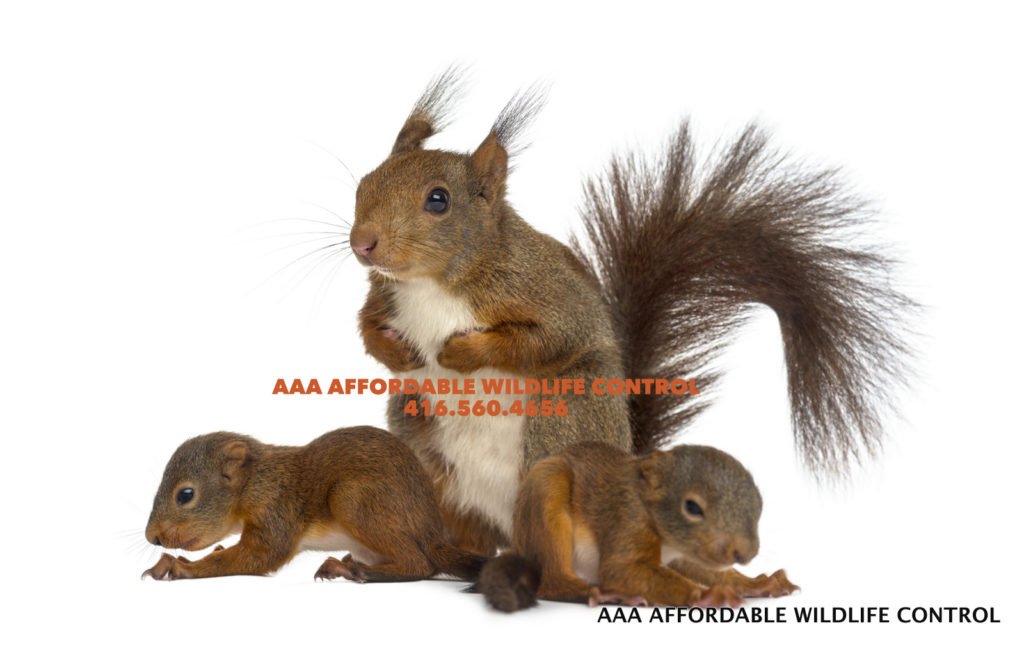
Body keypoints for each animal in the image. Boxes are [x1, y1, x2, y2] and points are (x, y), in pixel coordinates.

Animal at [142, 426, 487, 582]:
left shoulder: (275, 508)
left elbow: (260, 556)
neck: (255, 480)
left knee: (421, 565)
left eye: (185, 495)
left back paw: (355, 570)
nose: (152, 537)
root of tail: (433, 532)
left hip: (352, 499)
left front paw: (182, 567)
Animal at [349, 68, 912, 553]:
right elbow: (366, 325)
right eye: (365, 181)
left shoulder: (548, 296)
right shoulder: (385, 294)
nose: (362, 244)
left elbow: (544, 340)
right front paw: (395, 354)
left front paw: (461, 353)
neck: (431, 284)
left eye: (438, 200)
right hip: (420, 437)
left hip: (564, 417)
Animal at [474, 442, 799, 612]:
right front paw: (704, 596)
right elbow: (620, 569)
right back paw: (603, 593)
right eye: (692, 507)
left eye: (759, 504)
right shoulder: (628, 518)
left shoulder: (690, 553)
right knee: (552, 581)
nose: (745, 553)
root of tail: (518, 543)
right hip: (546, 491)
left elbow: (709, 571)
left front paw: (755, 583)